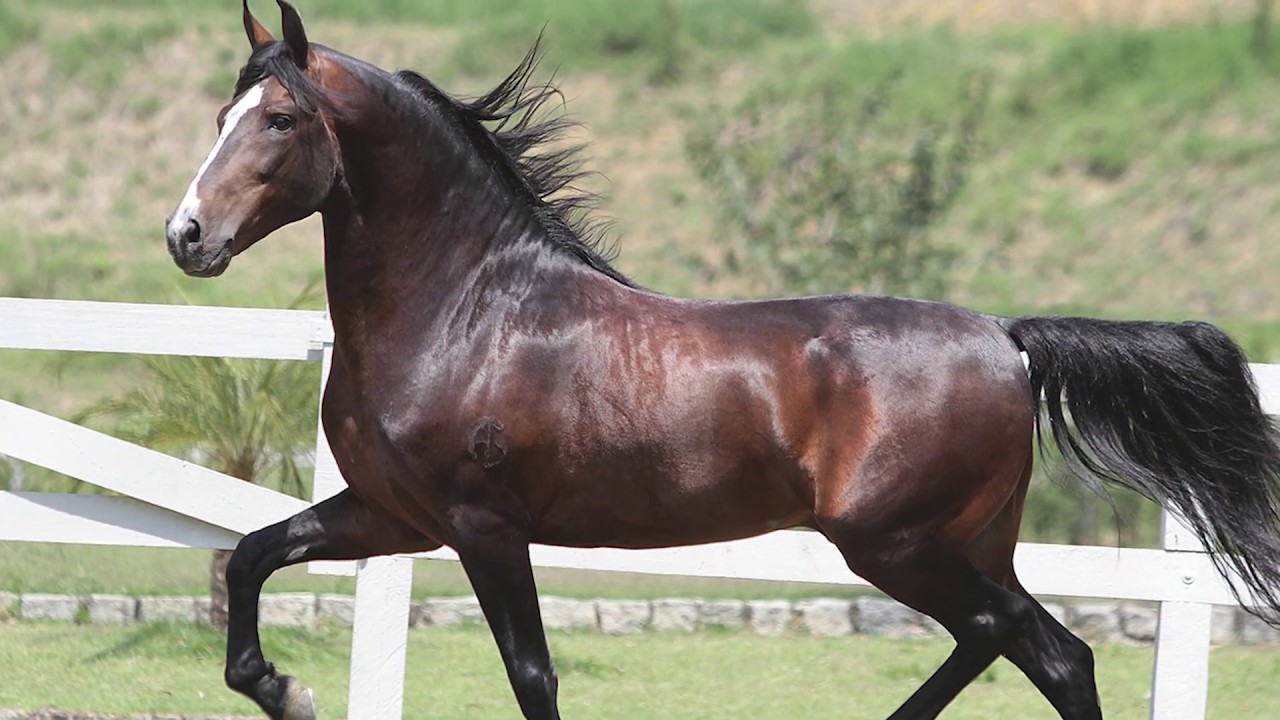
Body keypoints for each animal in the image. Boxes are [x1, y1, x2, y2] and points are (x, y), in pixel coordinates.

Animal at [167, 2, 1280, 712]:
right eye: (220, 116)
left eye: (278, 118)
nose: (186, 236)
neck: (466, 310)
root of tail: (1004, 337)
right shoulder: (392, 516)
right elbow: (254, 554)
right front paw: (284, 689)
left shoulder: (483, 527)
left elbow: (533, 675)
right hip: (959, 543)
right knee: (1014, 645)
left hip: (898, 544)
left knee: (1045, 651)